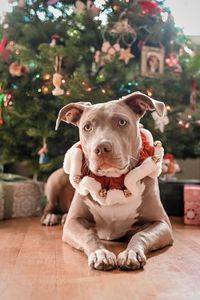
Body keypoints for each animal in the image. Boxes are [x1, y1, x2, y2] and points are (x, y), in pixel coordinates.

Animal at [55, 91, 173, 270]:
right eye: (87, 127)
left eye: (122, 122)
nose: (101, 148)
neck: (113, 182)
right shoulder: (73, 222)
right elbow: (89, 235)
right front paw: (100, 253)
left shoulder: (162, 223)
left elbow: (141, 234)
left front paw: (131, 253)